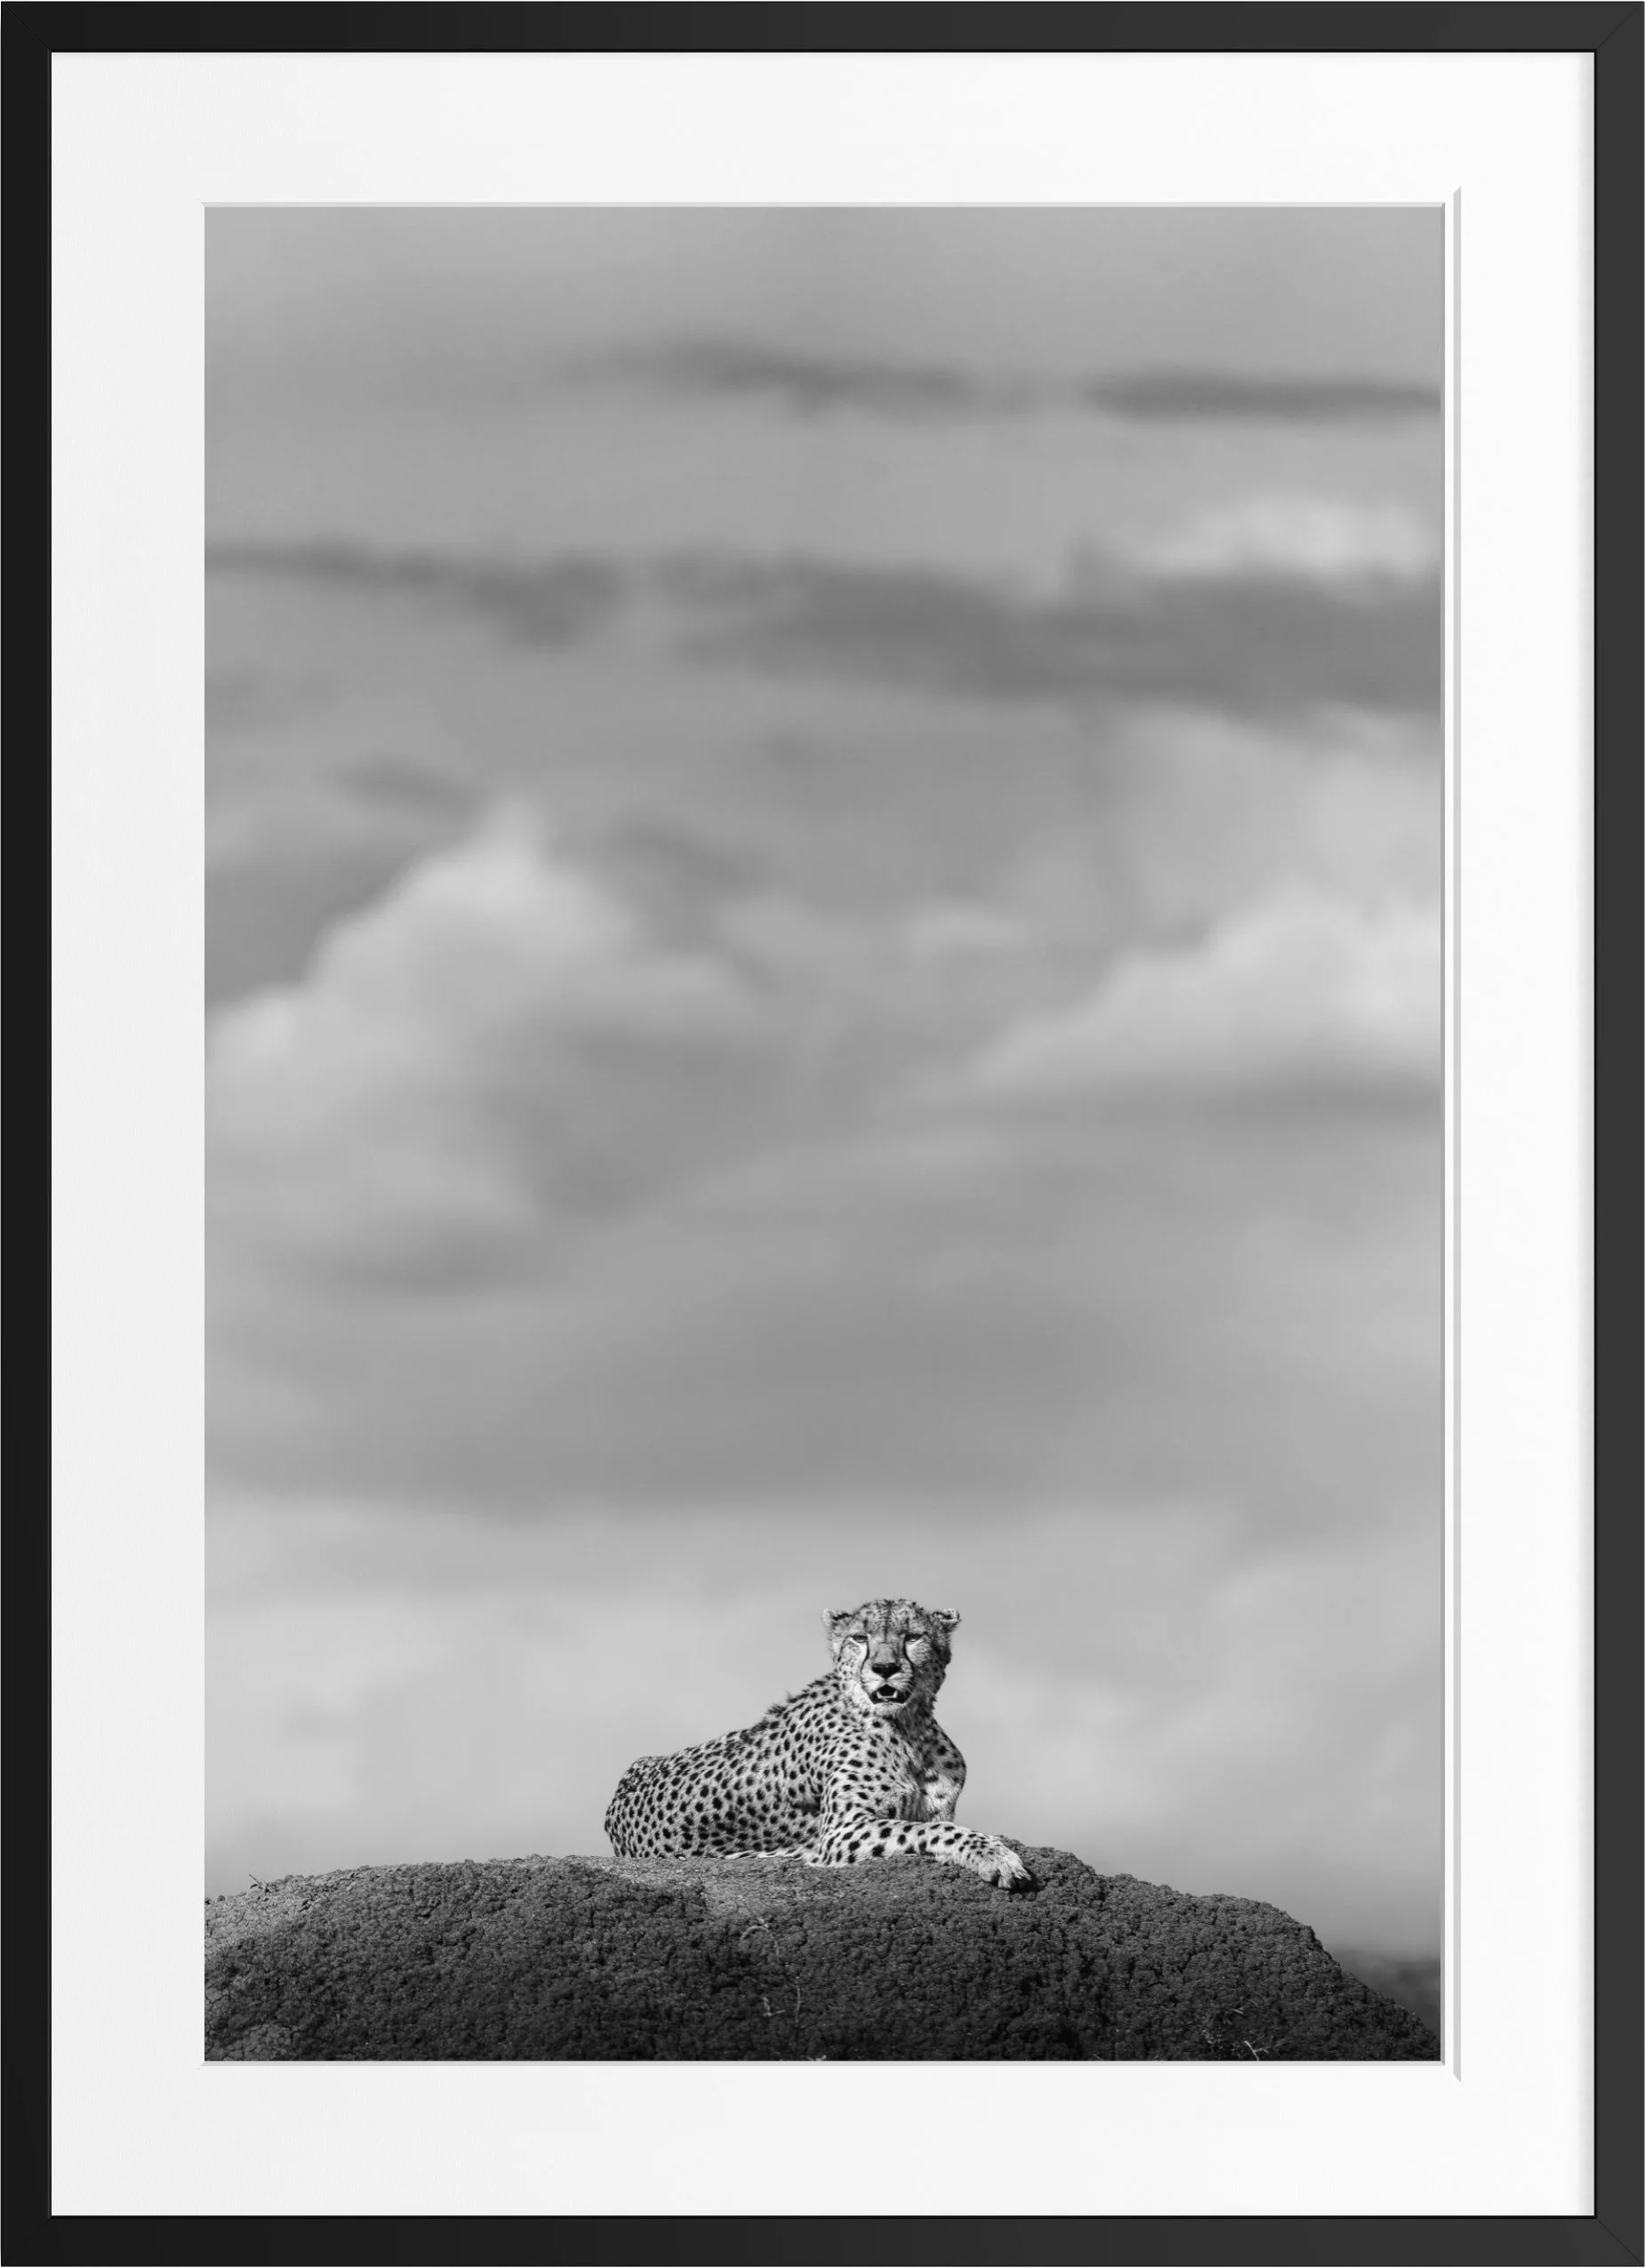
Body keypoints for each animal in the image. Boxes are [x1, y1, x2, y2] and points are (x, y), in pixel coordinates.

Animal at [603, 1597, 1034, 1889]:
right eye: (860, 1638)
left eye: (913, 1637)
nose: (885, 1668)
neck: (909, 1728)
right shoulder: (842, 1832)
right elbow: (938, 1832)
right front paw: (997, 1856)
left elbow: (938, 1825)